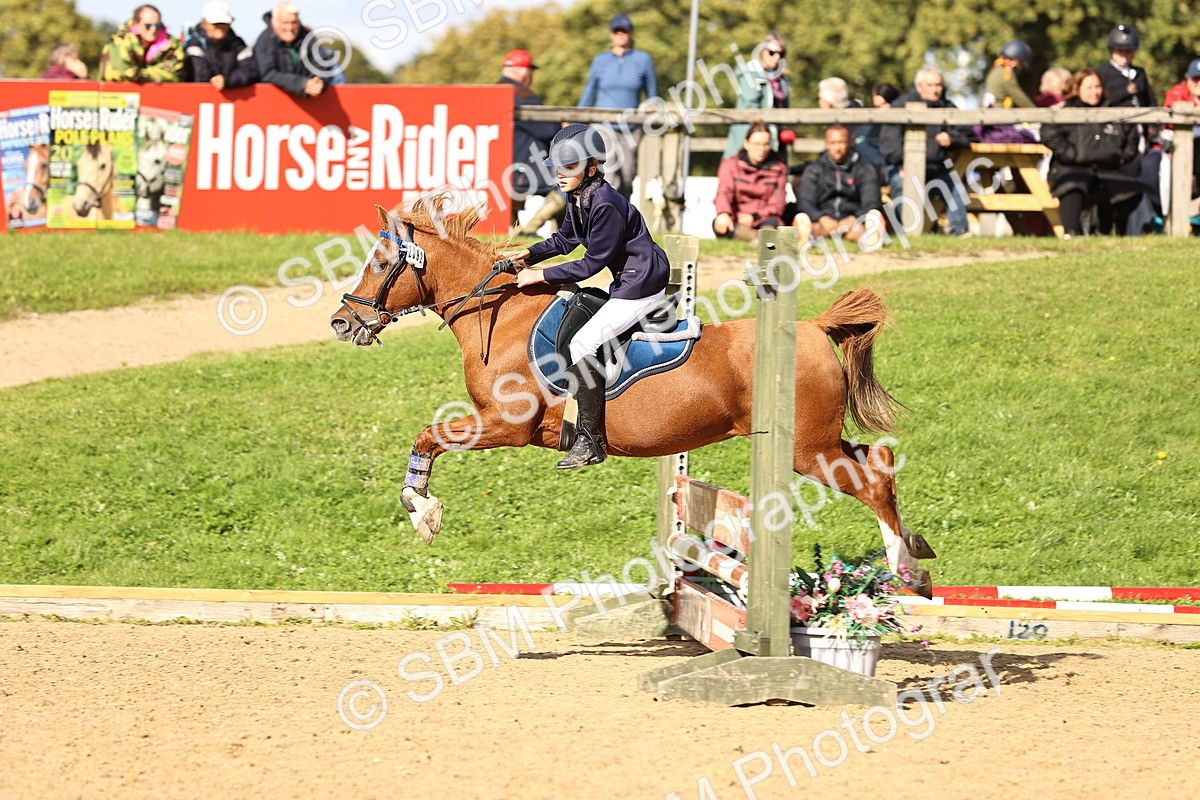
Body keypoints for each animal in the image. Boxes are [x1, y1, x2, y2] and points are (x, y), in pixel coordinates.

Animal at [329, 201, 937, 597]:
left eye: (380, 263)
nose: (341, 322)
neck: (498, 315)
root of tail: (810, 327)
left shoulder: (506, 424)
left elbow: (429, 437)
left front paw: (422, 511)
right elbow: (428, 438)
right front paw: (422, 509)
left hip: (803, 450)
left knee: (871, 481)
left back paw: (902, 568)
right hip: (818, 442)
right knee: (878, 460)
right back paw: (918, 555)